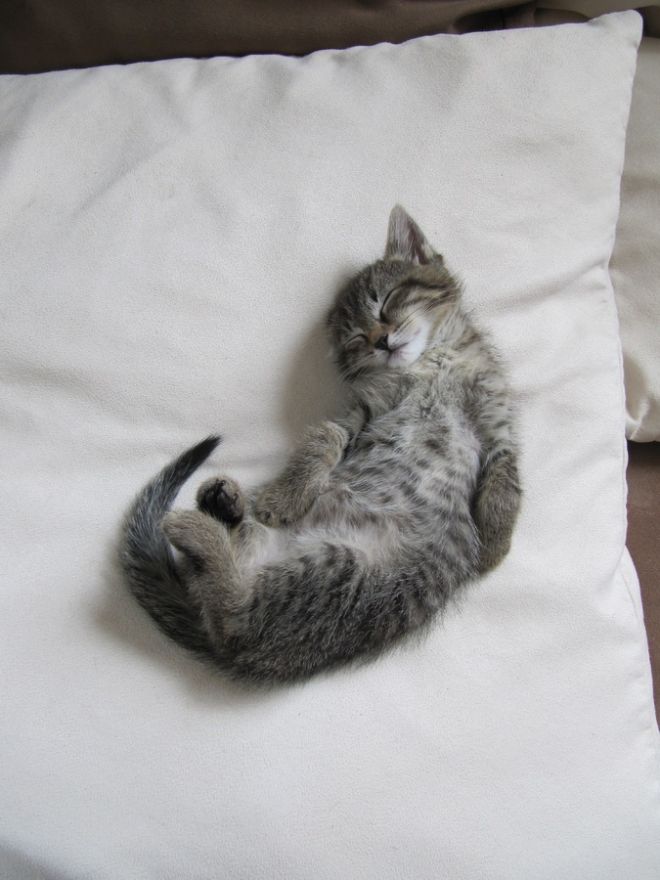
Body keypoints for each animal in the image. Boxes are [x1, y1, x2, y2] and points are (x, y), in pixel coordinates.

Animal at [118, 205, 520, 680]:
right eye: (356, 339)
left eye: (386, 302)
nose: (382, 341)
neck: (431, 362)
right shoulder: (362, 410)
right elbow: (322, 436)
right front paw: (287, 494)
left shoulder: (497, 422)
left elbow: (505, 484)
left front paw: (493, 547)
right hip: (331, 573)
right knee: (230, 612)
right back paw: (212, 513)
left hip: (346, 574)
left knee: (233, 611)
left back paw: (211, 516)